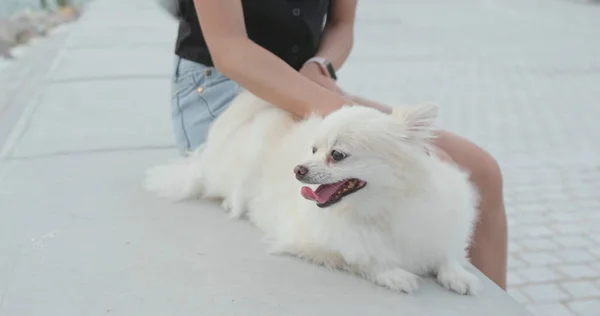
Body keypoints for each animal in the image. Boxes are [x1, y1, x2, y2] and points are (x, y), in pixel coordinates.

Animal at [145, 90, 482, 296]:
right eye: (313, 149)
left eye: (338, 154)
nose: (298, 169)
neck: (382, 209)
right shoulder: (309, 241)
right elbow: (363, 258)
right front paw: (395, 274)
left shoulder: (432, 226)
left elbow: (445, 252)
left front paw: (456, 274)